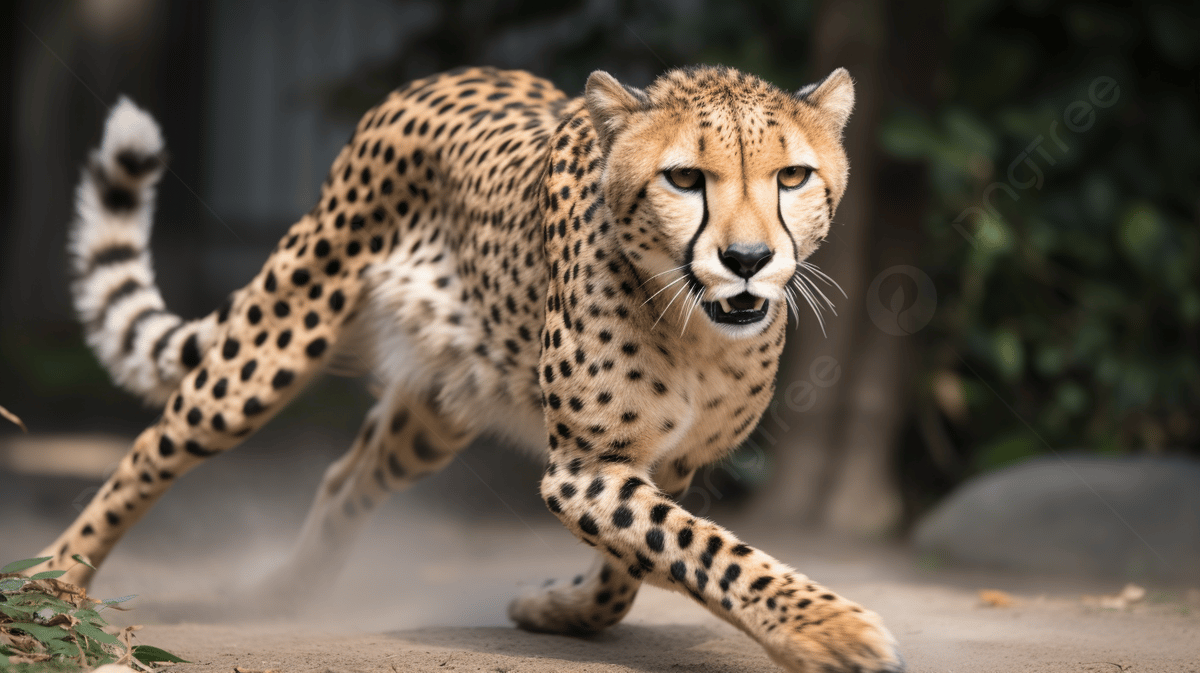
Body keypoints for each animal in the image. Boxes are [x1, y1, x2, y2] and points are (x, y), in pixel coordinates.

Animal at [28, 64, 903, 672]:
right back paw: (51, 582)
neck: (695, 326)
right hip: (269, 346)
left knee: (348, 474)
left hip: (437, 411)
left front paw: (560, 608)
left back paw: (288, 589)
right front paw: (830, 628)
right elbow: (703, 549)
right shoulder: (584, 466)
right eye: (685, 178)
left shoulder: (668, 460)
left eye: (792, 176)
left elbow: (638, 564)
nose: (747, 261)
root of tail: (436, 78)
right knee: (154, 445)